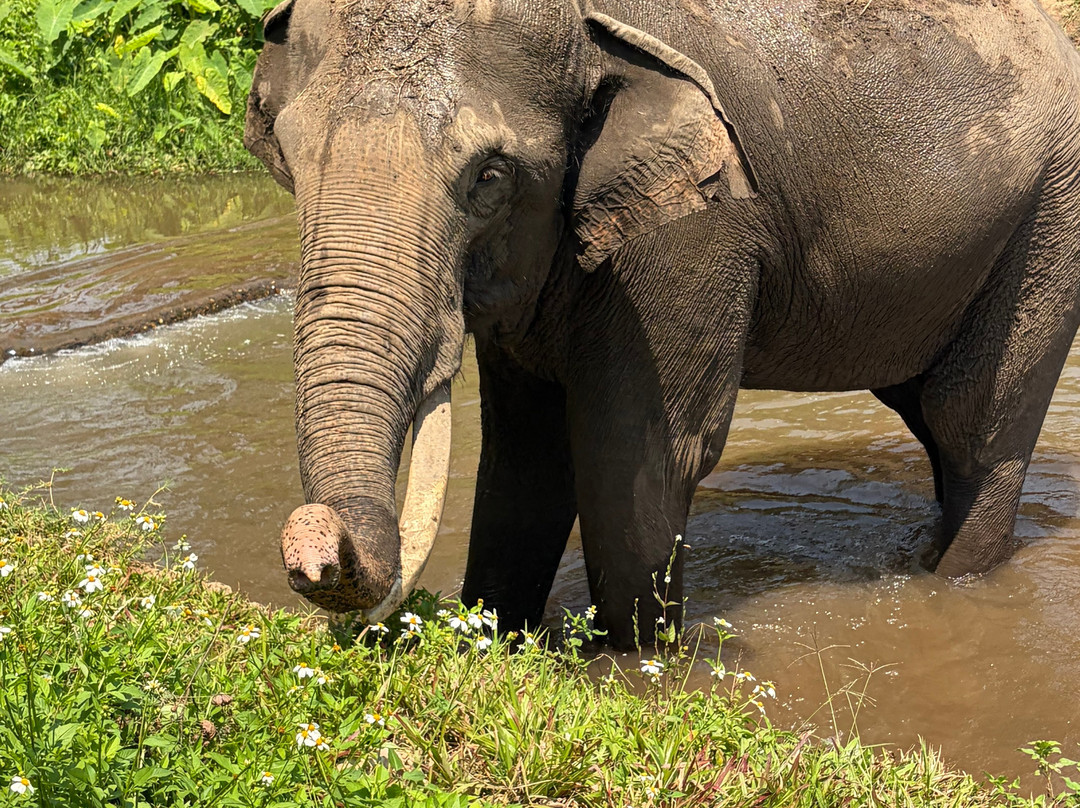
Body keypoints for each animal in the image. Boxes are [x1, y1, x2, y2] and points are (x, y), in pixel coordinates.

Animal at [246, 0, 1080, 649]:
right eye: (287, 154)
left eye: (489, 176)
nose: (312, 540)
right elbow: (527, 455)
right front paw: (501, 640)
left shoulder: (693, 234)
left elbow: (635, 455)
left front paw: (635, 662)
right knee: (928, 418)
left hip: (1050, 223)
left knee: (973, 425)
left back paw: (948, 578)